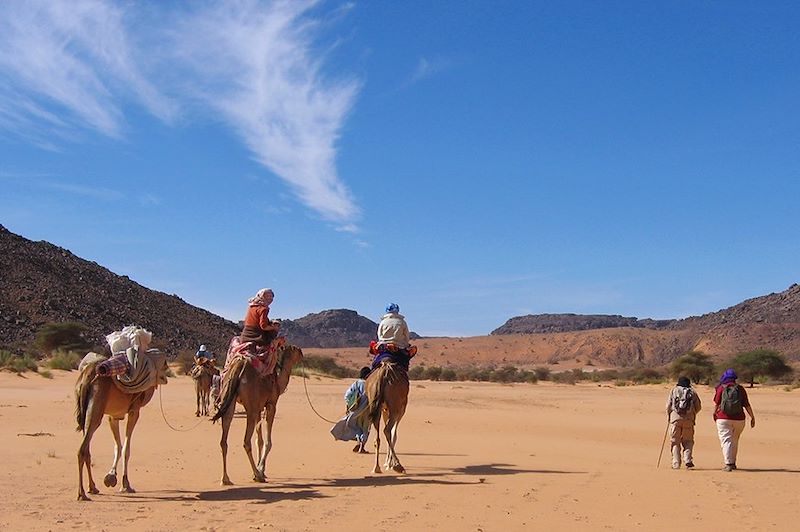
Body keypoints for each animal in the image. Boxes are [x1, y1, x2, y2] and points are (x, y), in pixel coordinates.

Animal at [74, 360, 156, 500]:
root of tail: (86, 376)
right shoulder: (134, 410)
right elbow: (125, 449)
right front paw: (126, 485)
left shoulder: (114, 416)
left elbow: (118, 446)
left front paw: (111, 477)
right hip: (96, 409)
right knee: (82, 450)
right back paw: (82, 494)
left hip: (86, 412)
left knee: (87, 450)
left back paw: (93, 488)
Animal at [209, 344, 304, 486]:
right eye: (295, 349)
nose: (302, 353)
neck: (278, 382)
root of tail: (239, 365)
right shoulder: (271, 405)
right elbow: (267, 442)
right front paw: (261, 470)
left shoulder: (259, 408)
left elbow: (259, 440)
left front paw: (261, 469)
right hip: (250, 406)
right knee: (246, 441)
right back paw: (257, 475)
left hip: (229, 398)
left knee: (223, 439)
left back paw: (225, 479)